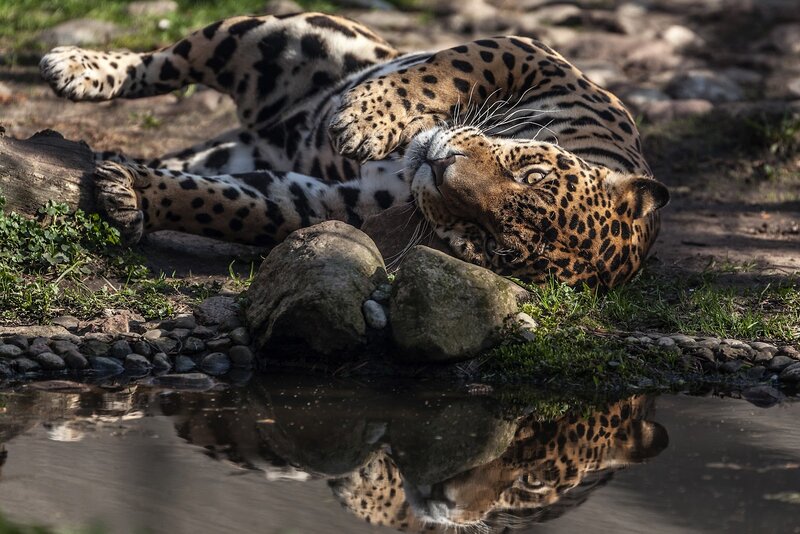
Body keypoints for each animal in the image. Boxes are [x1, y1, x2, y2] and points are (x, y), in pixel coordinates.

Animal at [39, 11, 669, 288]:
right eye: (532, 172)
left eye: (486, 243)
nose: (438, 166)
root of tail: (270, 123)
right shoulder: (536, 54)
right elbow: (452, 66)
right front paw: (366, 120)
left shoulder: (327, 206)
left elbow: (228, 205)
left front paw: (133, 193)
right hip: (279, 37)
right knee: (166, 61)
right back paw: (78, 67)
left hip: (249, 136)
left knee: (200, 156)